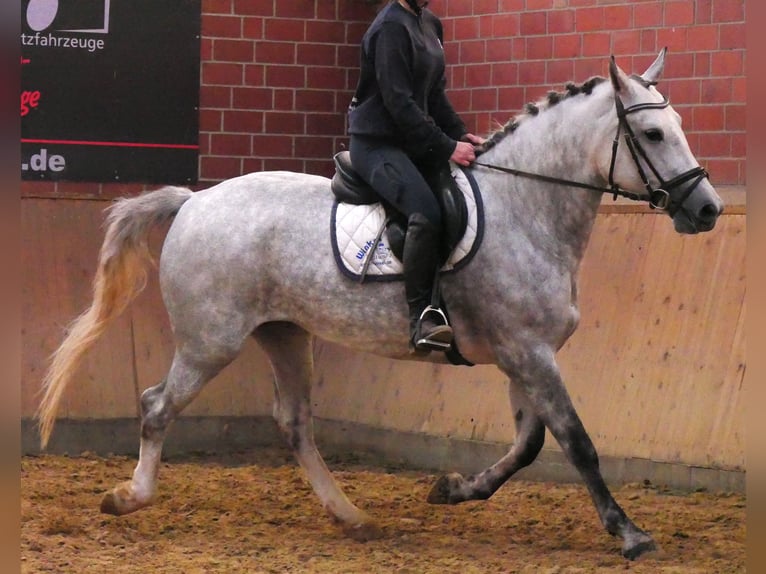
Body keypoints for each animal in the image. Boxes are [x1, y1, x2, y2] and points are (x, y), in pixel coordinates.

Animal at [37, 49, 723, 560]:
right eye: (653, 133)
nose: (708, 209)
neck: (528, 208)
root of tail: (194, 200)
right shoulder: (528, 353)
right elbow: (576, 442)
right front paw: (629, 533)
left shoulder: (523, 355)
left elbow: (529, 445)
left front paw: (453, 489)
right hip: (212, 342)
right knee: (157, 406)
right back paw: (129, 498)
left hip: (284, 334)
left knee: (295, 424)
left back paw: (353, 516)